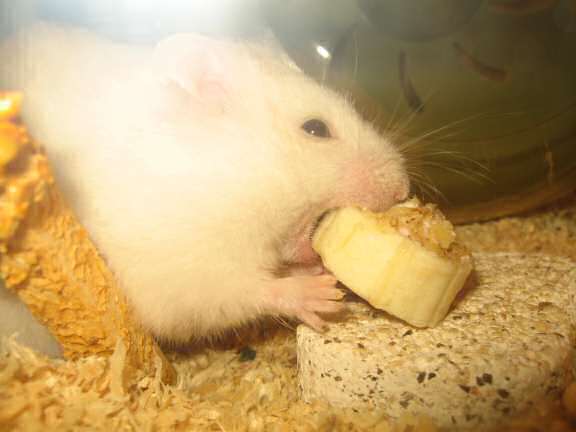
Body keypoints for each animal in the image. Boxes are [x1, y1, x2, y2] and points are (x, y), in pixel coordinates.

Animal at [0, 22, 410, 348]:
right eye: (315, 129)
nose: (403, 189)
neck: (221, 174)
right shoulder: (180, 267)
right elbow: (244, 291)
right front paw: (320, 295)